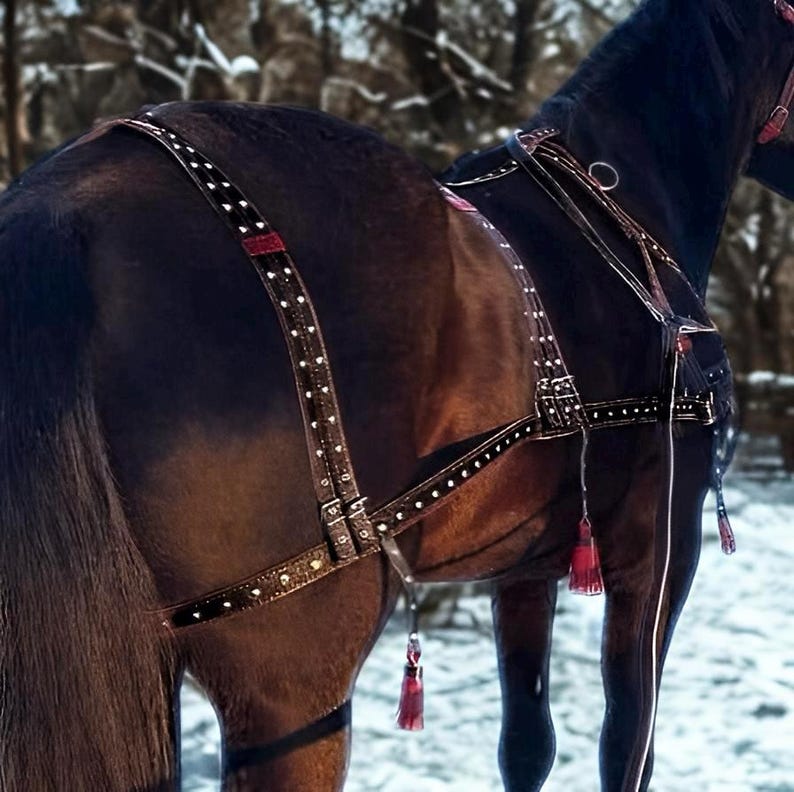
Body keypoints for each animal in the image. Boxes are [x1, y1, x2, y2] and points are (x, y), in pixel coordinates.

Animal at [0, 0, 792, 790]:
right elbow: (627, 744)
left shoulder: (524, 569)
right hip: (296, 677)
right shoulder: (658, 555)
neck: (615, 203)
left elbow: (527, 745)